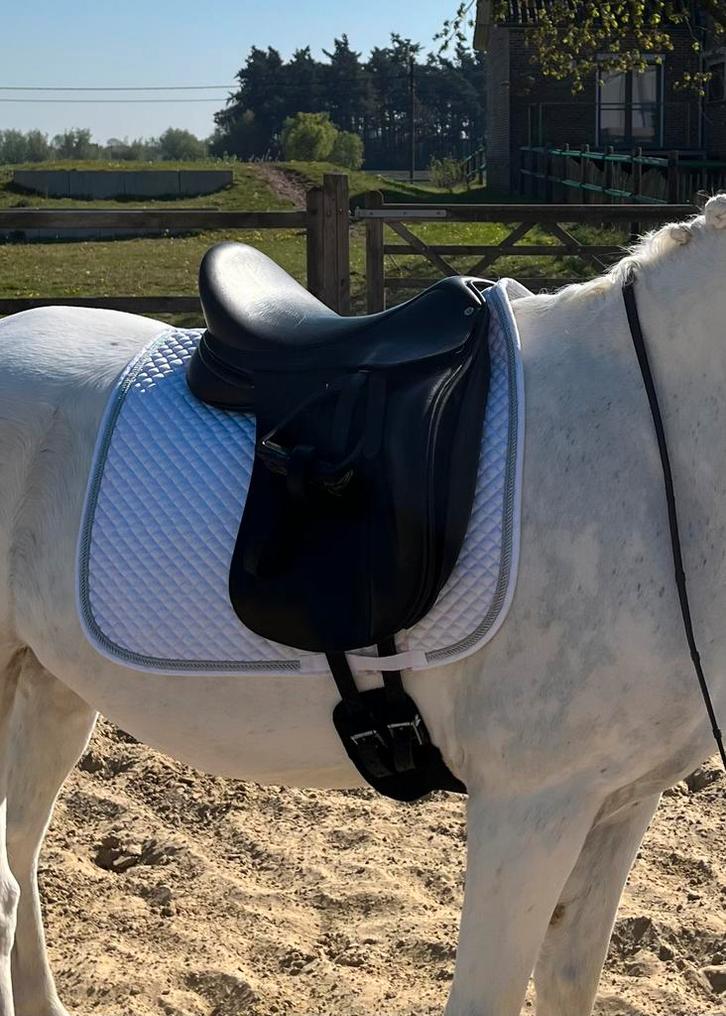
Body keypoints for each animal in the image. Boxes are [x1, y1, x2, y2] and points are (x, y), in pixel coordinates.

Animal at [0, 194, 725, 1016]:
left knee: (20, 857)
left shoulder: (622, 801)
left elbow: (572, 977)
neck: (649, 447)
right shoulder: (530, 809)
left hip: (52, 685)